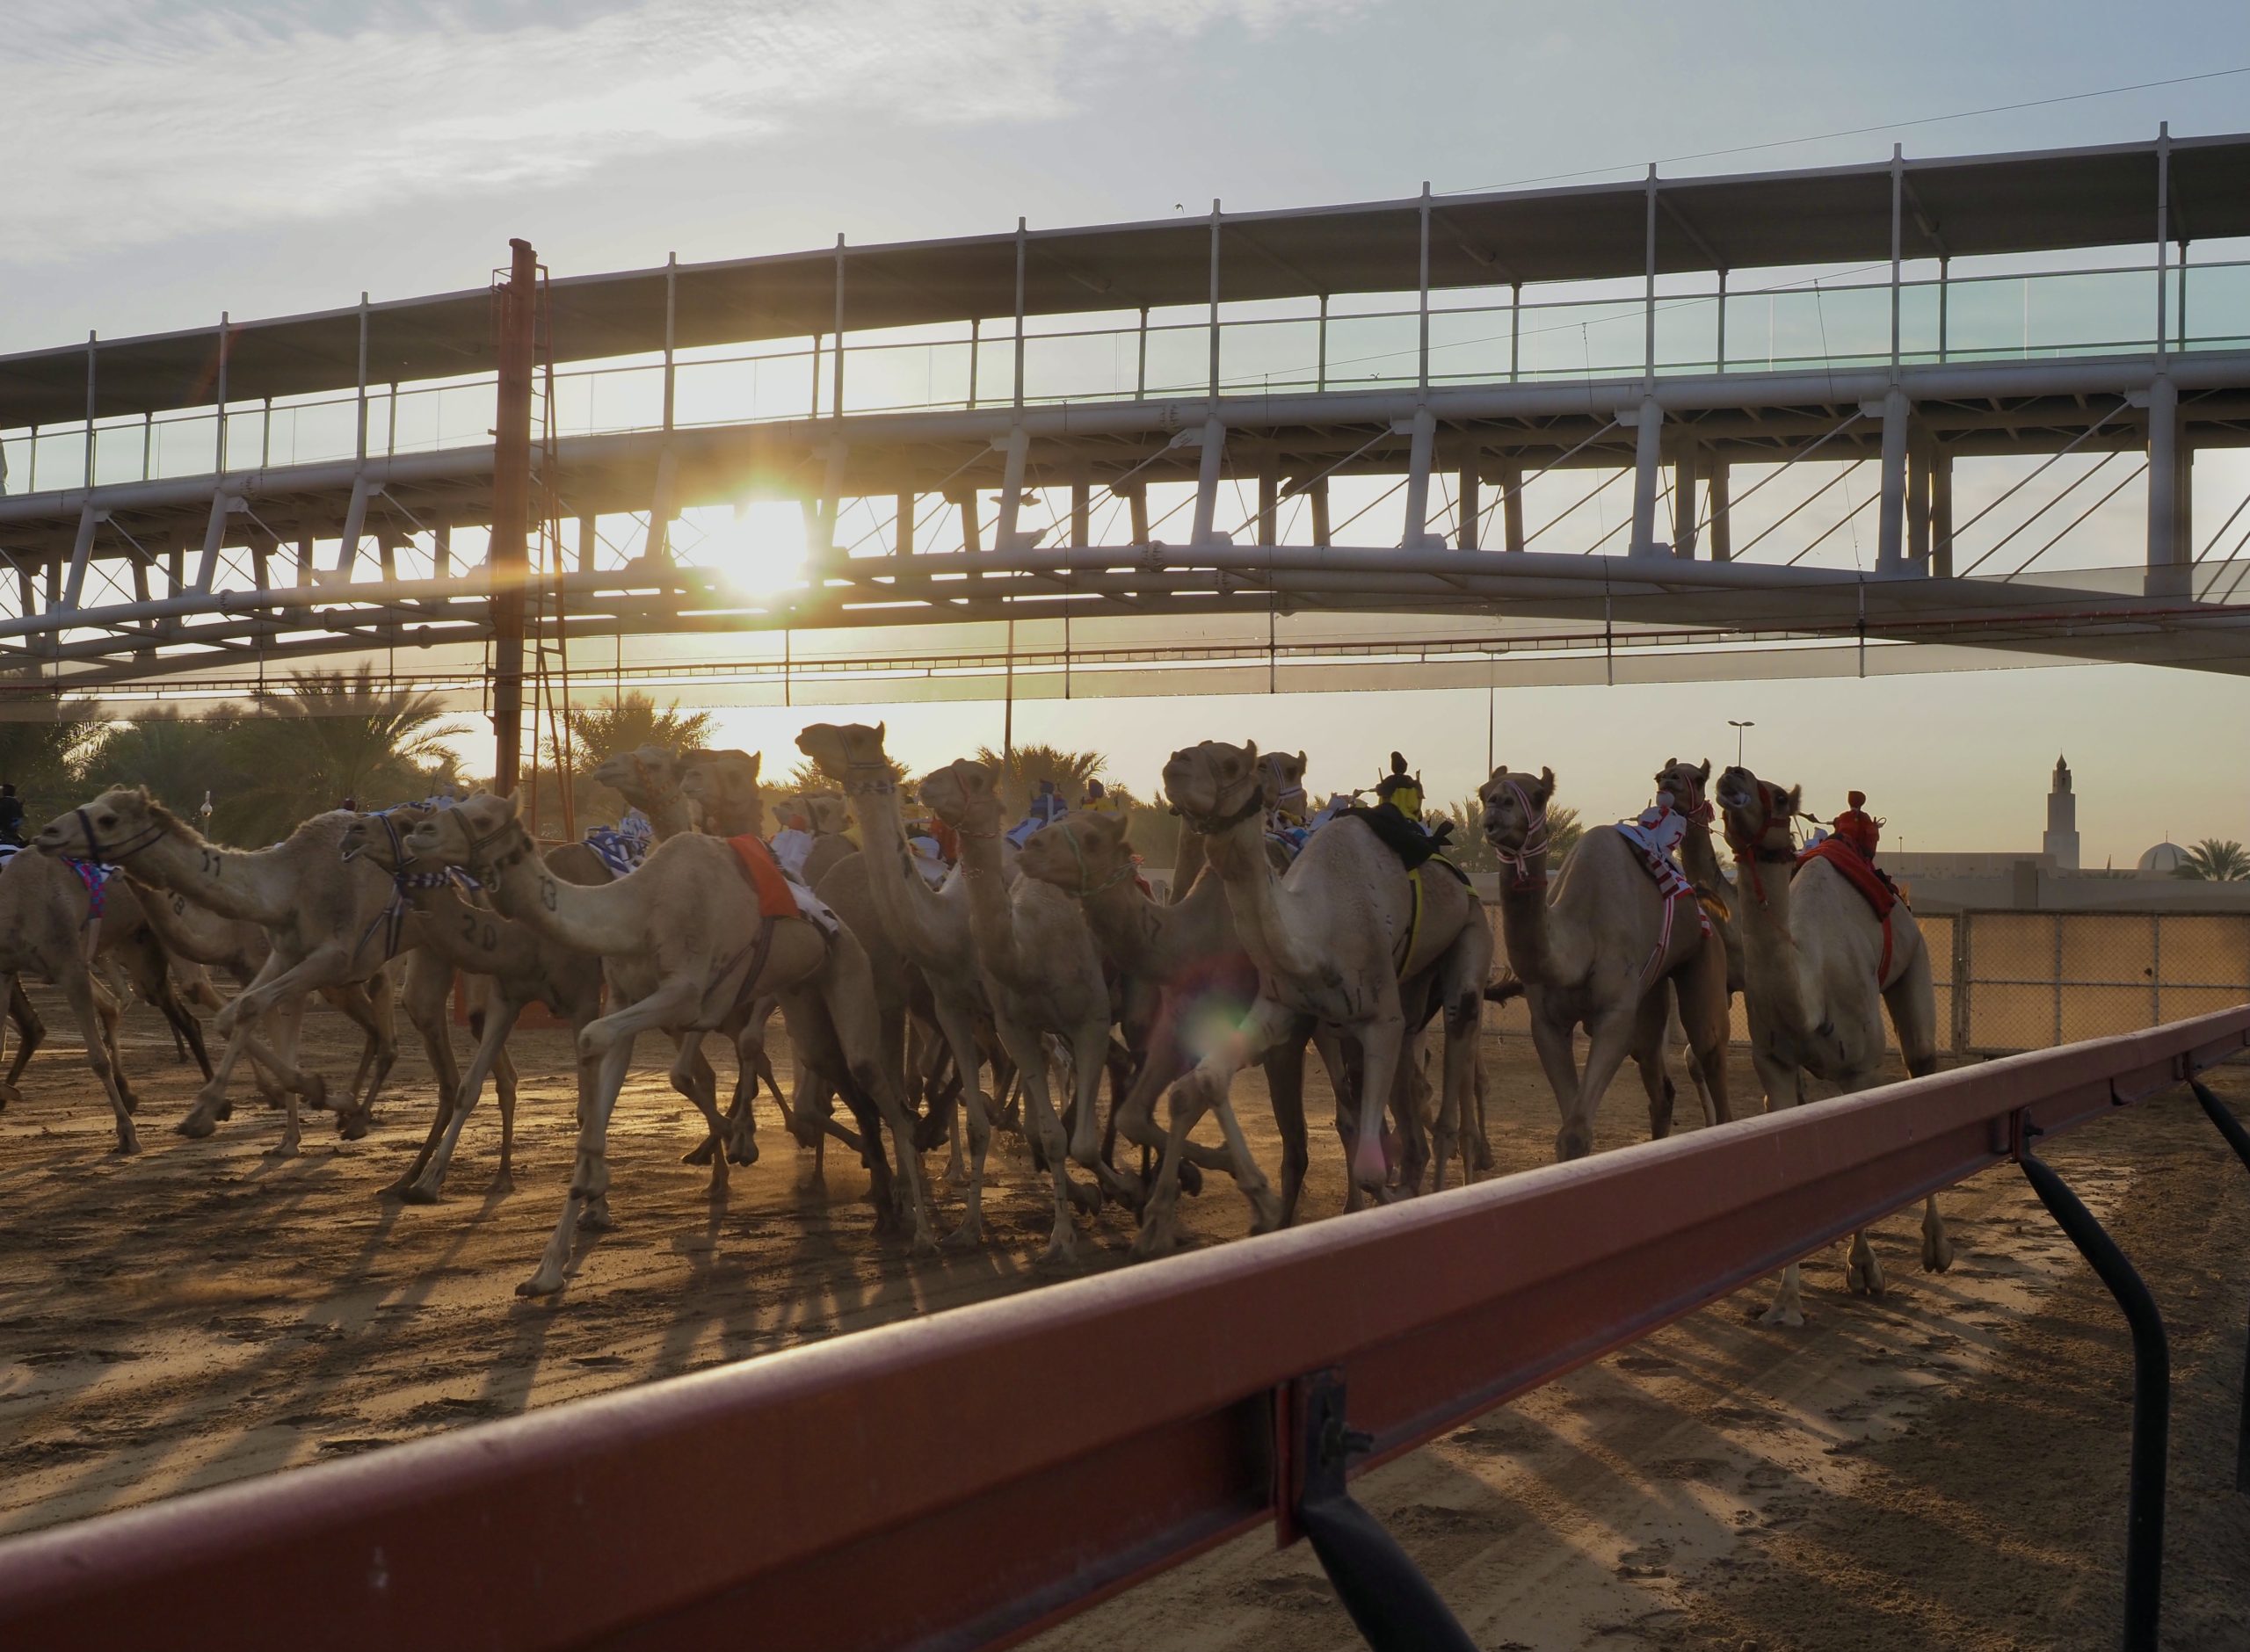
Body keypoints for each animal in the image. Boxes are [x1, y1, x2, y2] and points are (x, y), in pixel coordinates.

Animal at [404, 787, 931, 1296]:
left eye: (484, 818)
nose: (418, 831)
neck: (639, 909)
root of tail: (832, 918)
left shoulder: (682, 996)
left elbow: (593, 1039)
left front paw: (598, 1184)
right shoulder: (624, 997)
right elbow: (601, 1074)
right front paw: (549, 1267)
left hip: (848, 970)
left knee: (876, 1083)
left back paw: (922, 1223)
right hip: (801, 997)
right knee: (837, 1077)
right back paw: (881, 1201)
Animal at [922, 764, 1115, 1269]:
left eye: (971, 775)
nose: (925, 784)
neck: (1028, 950)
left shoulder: (1091, 1020)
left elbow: (1080, 1140)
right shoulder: (1013, 1028)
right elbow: (1051, 1134)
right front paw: (1056, 1236)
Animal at [1160, 743, 1493, 1251]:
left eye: (1234, 763)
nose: (1174, 763)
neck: (1314, 934)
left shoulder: (1379, 1020)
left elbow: (1372, 1171)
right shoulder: (1282, 1009)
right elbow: (1207, 1079)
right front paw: (1262, 1202)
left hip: (1471, 939)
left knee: (1454, 1085)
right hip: (1413, 992)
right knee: (1415, 1101)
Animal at [1718, 764, 1953, 1332]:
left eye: (1779, 796)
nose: (1732, 775)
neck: (1811, 987)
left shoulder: (1861, 1068)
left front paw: (1865, 1270)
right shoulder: (1774, 1066)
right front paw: (1784, 1304)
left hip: (1916, 966)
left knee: (1921, 1065)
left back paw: (1936, 1249)